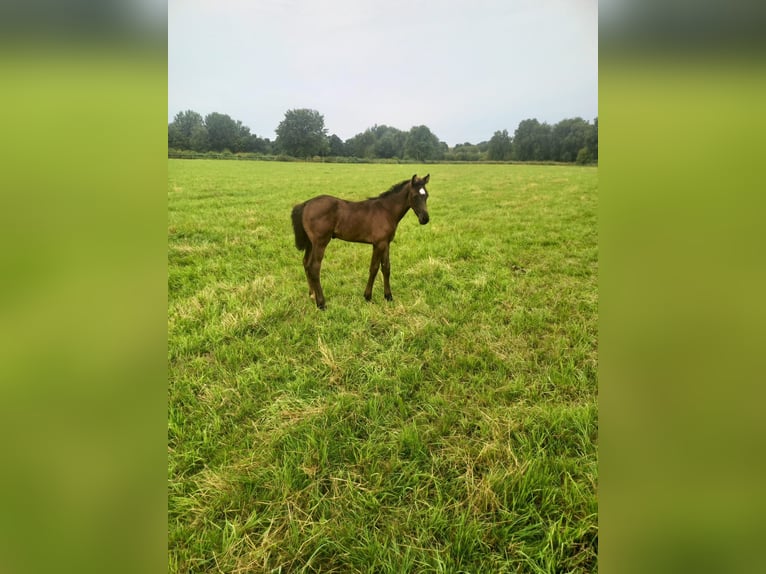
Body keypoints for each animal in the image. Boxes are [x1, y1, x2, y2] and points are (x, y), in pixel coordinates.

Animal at [292, 174, 432, 310]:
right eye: (415, 196)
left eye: (426, 195)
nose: (425, 219)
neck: (387, 210)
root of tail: (305, 204)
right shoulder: (378, 244)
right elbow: (374, 268)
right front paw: (367, 297)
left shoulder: (386, 243)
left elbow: (386, 268)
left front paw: (388, 296)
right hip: (320, 242)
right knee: (314, 267)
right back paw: (321, 304)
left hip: (311, 243)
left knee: (306, 263)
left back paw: (312, 295)